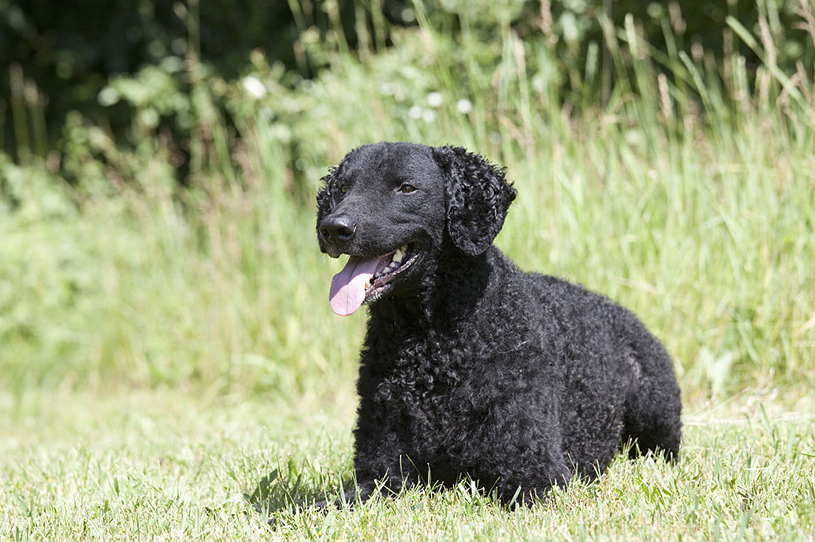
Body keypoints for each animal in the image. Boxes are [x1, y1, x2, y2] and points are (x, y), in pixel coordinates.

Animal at [318, 142, 684, 508]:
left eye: (406, 188)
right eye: (343, 188)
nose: (334, 228)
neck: (428, 344)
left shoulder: (537, 475)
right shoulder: (379, 477)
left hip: (655, 412)